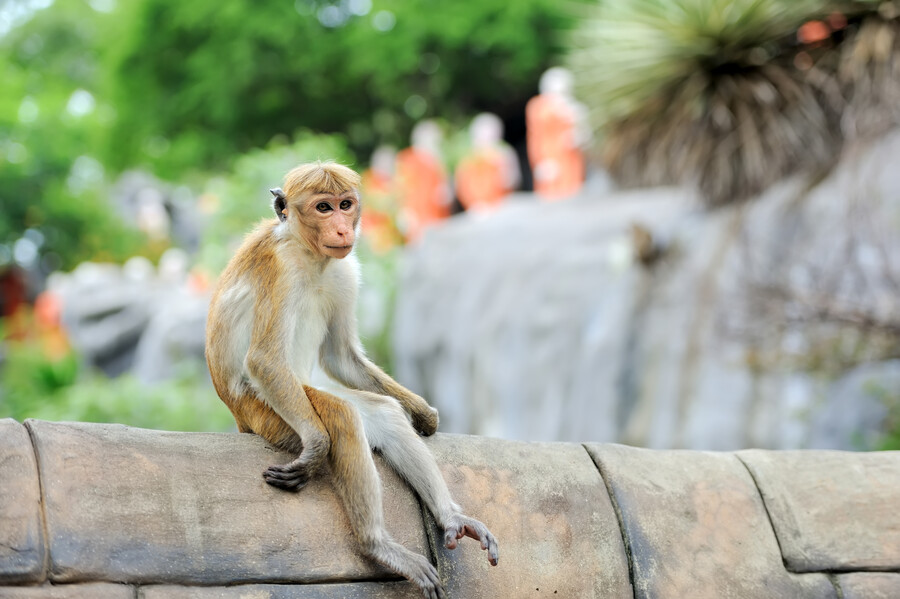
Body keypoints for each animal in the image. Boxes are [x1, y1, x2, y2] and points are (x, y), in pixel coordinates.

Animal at [206, 162, 498, 599]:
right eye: (323, 207)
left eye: (345, 205)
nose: (343, 229)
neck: (309, 253)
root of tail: (239, 417)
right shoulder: (280, 267)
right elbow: (264, 359)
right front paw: (316, 446)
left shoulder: (344, 270)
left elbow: (341, 357)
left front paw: (424, 414)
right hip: (267, 411)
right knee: (340, 415)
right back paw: (375, 544)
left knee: (381, 414)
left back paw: (450, 518)